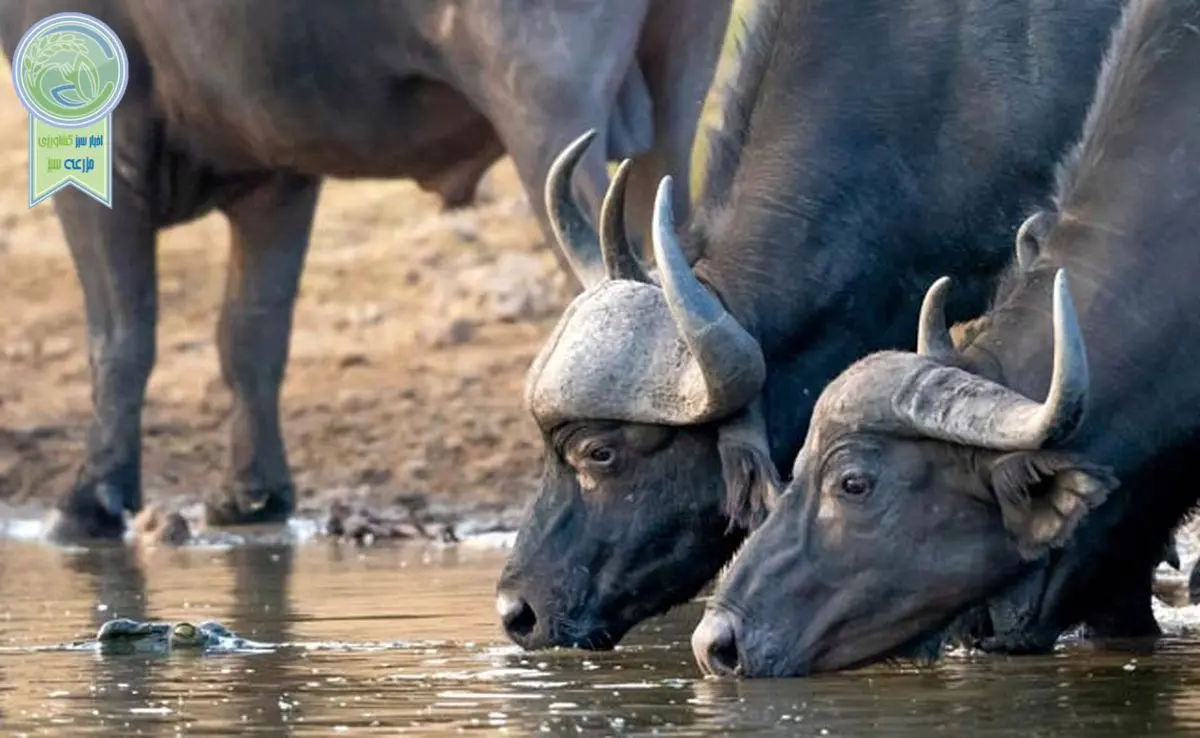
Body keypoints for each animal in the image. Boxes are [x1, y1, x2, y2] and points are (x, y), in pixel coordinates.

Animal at [0, 0, 729, 542]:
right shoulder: (279, 176)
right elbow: (251, 335)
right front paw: (253, 494)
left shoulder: (104, 151)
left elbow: (120, 334)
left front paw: (91, 498)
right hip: (674, 94)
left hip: (544, 104)